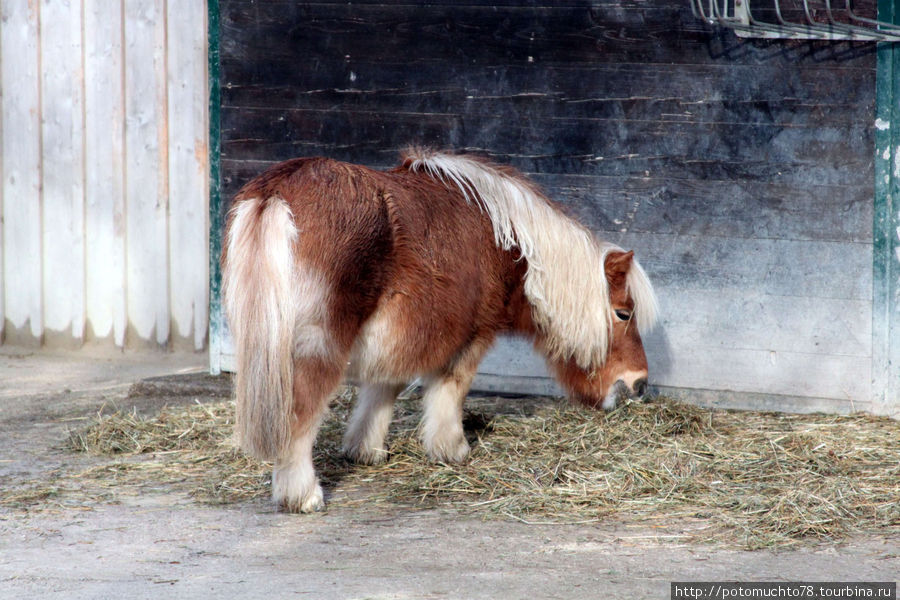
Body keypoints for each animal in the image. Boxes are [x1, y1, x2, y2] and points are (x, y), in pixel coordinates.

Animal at [223, 150, 660, 510]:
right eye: (623, 314)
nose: (638, 384)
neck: (504, 241)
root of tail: (276, 194)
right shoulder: (472, 336)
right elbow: (452, 388)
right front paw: (452, 449)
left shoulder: (401, 335)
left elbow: (384, 389)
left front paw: (366, 450)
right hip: (316, 347)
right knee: (299, 415)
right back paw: (303, 496)